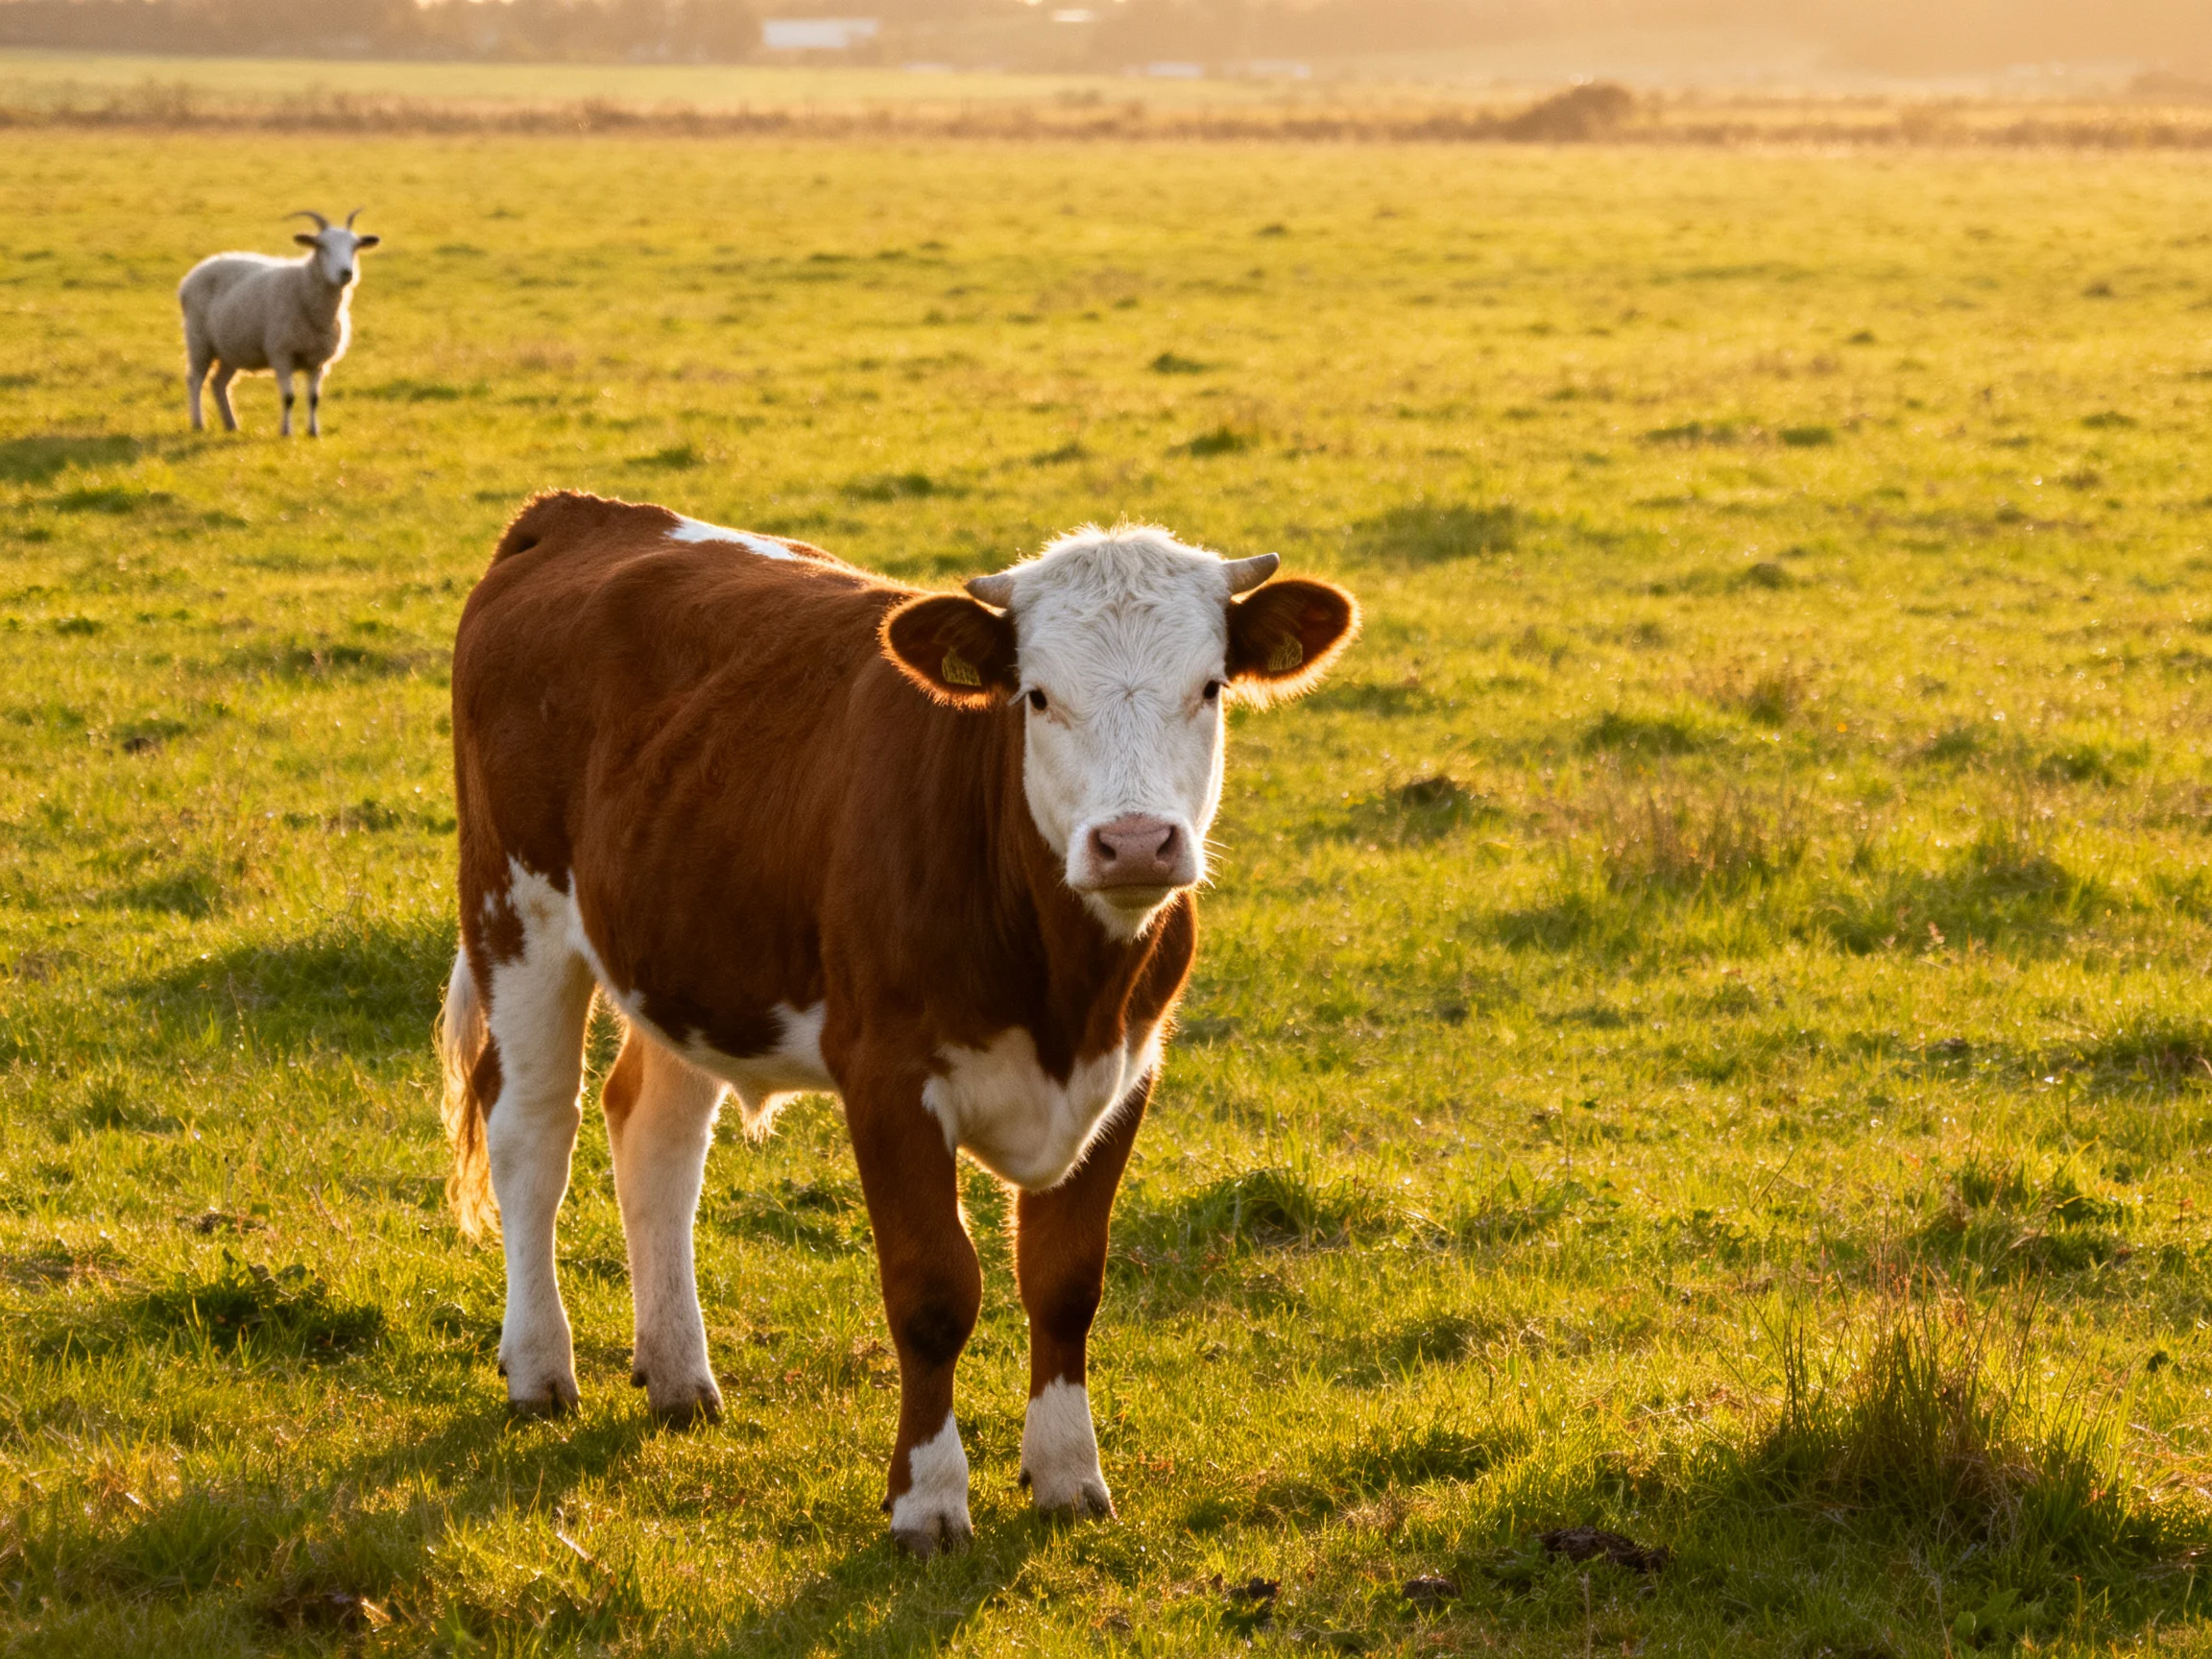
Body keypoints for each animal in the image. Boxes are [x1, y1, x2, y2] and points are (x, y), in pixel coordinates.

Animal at [179, 209, 380, 438]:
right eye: (321, 246)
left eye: (354, 247)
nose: (346, 273)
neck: (304, 287)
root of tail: (193, 274)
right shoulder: (281, 353)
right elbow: (288, 397)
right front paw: (286, 432)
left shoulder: (318, 360)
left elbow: (314, 399)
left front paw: (313, 432)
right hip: (199, 341)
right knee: (195, 380)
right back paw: (198, 423)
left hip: (231, 348)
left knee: (218, 383)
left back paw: (231, 424)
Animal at [436, 491, 1358, 1555]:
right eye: (1036, 697)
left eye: (1209, 688)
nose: (1134, 843)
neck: (1065, 990)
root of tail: (581, 516)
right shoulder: (885, 1077)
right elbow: (933, 1291)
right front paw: (928, 1499)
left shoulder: (1127, 1069)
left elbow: (1065, 1281)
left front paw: (1068, 1476)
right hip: (516, 913)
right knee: (534, 1136)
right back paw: (540, 1366)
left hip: (685, 948)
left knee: (654, 1137)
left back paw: (677, 1374)